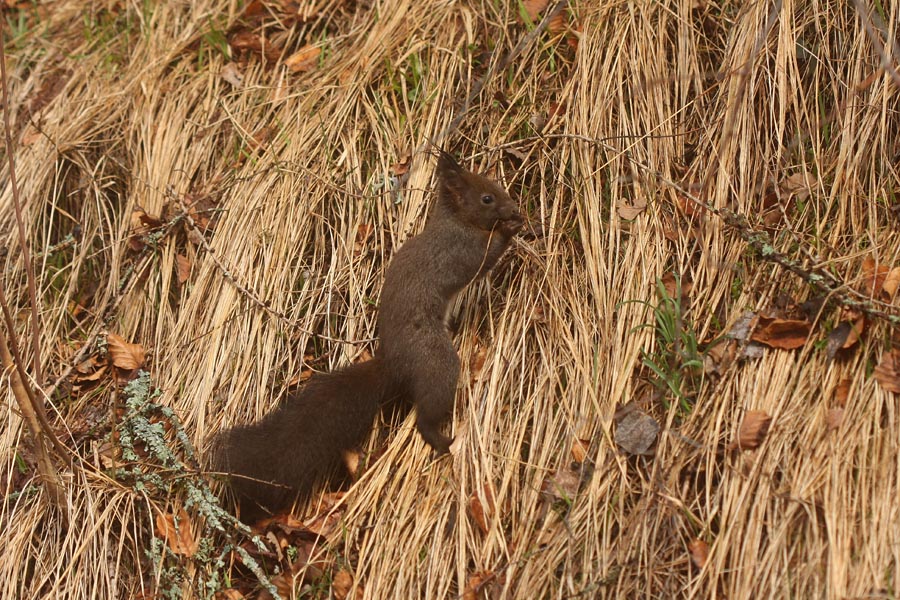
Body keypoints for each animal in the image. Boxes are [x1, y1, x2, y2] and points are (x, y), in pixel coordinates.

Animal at [214, 151, 524, 520]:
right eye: (487, 198)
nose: (513, 207)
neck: (457, 222)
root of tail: (393, 364)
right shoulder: (461, 251)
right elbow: (485, 258)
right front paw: (513, 230)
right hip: (436, 361)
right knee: (426, 414)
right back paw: (441, 440)